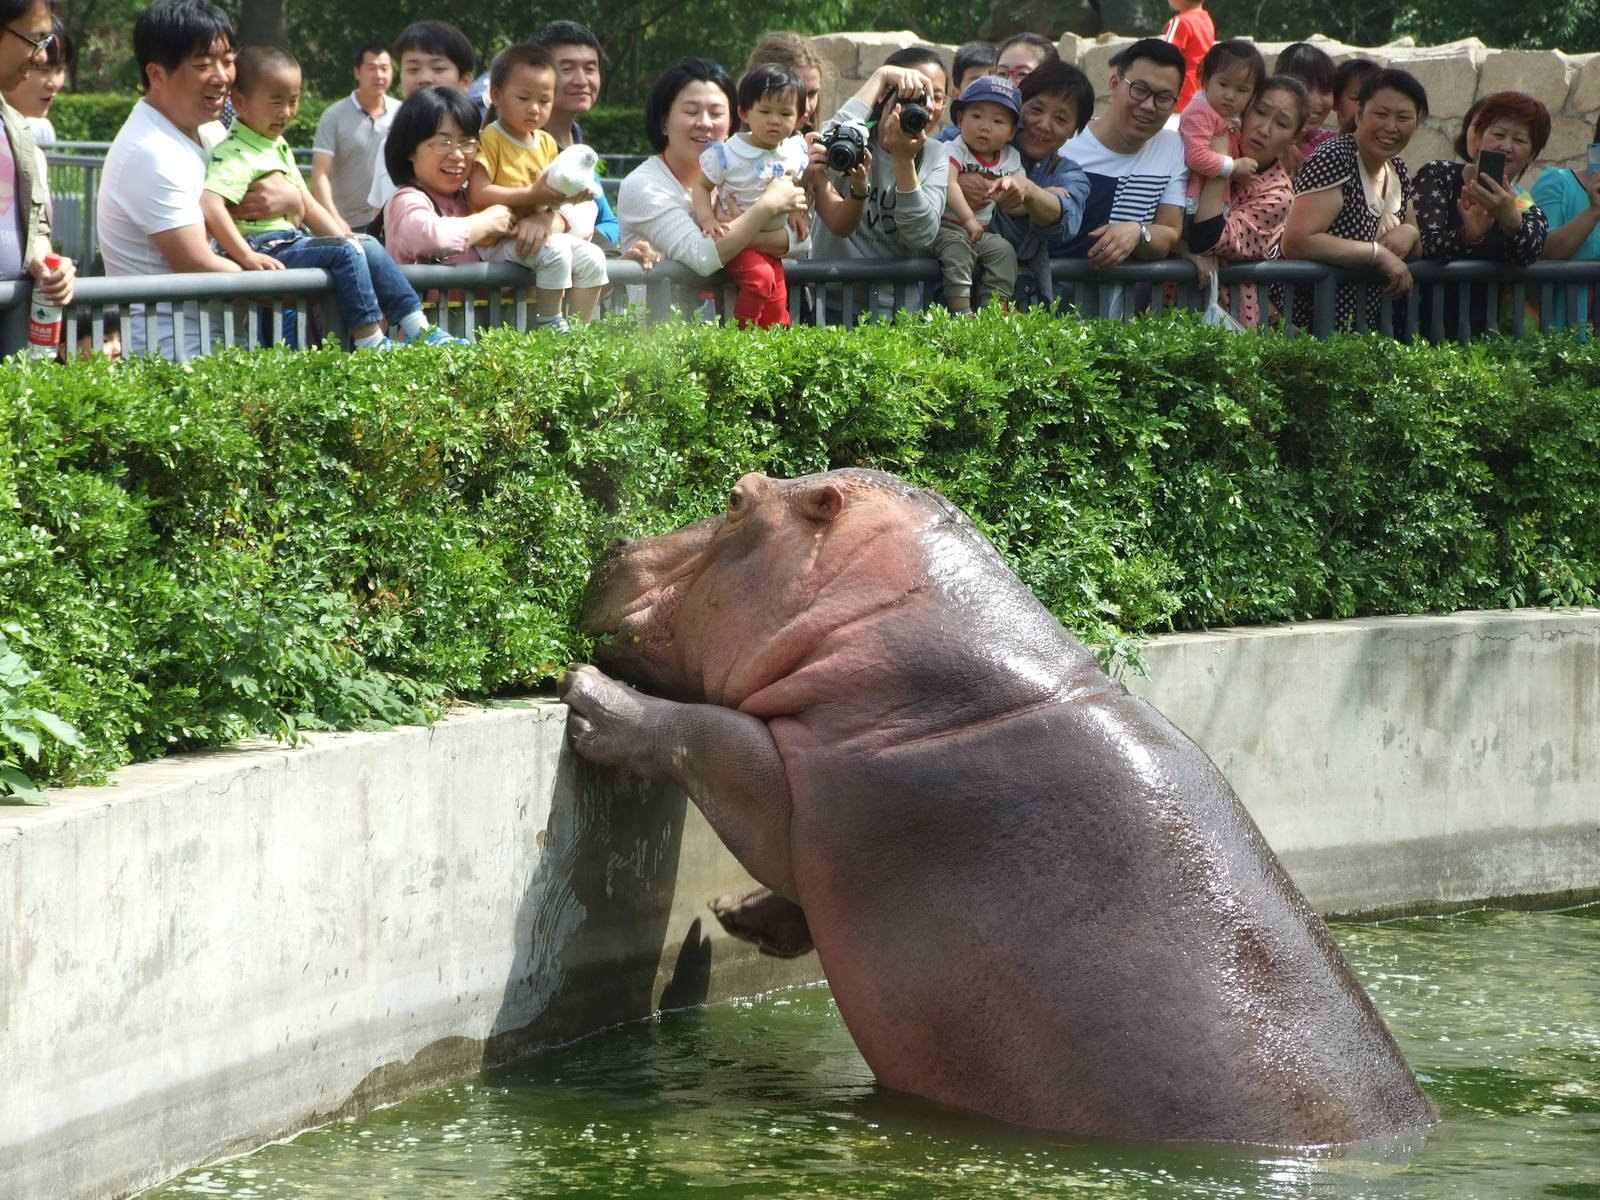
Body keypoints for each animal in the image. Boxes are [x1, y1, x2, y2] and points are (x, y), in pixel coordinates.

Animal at [557, 468, 1437, 1146]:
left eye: (737, 497)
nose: (613, 545)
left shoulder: (823, 796)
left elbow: (718, 745)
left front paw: (594, 698)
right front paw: (736, 917)